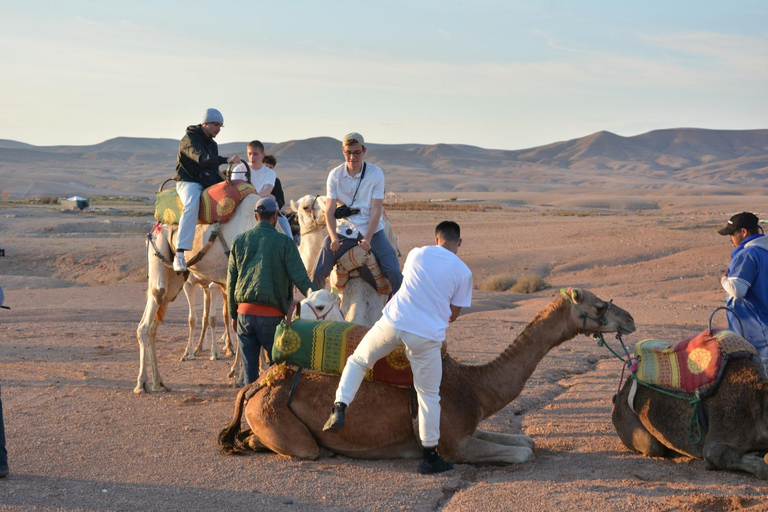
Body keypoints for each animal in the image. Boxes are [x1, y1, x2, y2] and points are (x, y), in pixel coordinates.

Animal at [136, 194, 260, 394]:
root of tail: (157, 225)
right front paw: (241, 376)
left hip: (175, 281)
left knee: (154, 324)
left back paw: (158, 382)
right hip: (159, 254)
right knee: (145, 324)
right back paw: (142, 383)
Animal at [218, 288, 636, 464]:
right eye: (601, 305)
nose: (630, 320)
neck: (475, 387)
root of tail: (261, 382)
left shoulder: (466, 427)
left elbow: (526, 440)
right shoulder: (453, 444)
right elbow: (521, 453)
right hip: (280, 417)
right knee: (301, 448)